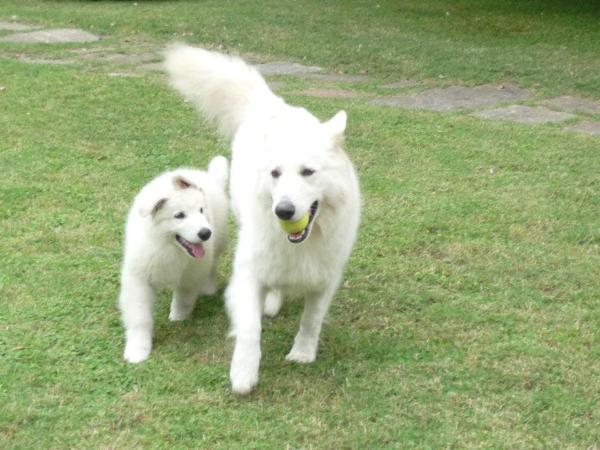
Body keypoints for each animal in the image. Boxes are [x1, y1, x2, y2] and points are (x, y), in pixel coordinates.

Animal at [118, 156, 229, 364]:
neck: (169, 247)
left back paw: (208, 287)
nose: (205, 233)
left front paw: (178, 317)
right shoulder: (138, 280)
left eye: (201, 210)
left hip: (218, 241)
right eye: (179, 215)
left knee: (212, 264)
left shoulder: (191, 274)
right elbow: (140, 317)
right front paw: (138, 350)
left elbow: (183, 298)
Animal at [165, 45, 360, 396]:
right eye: (275, 174)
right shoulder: (248, 274)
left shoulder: (324, 280)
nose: (283, 211)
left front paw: (302, 353)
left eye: (308, 172)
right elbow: (249, 329)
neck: (300, 243)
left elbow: (311, 320)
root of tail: (273, 105)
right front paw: (243, 373)